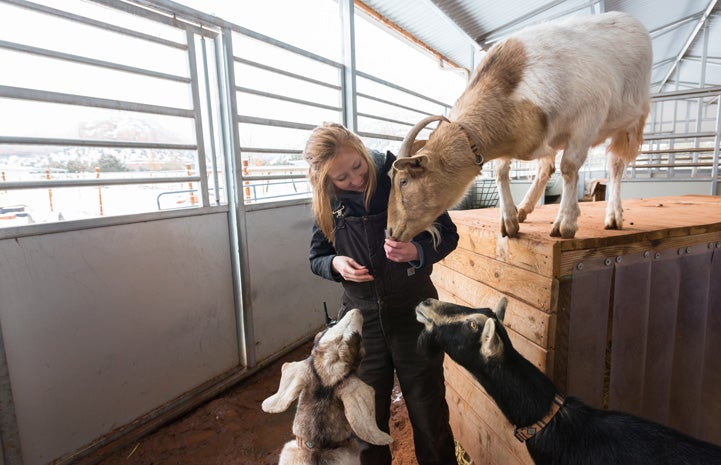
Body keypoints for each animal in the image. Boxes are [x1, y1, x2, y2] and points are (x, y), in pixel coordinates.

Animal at [388, 11, 652, 239]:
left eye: (404, 181)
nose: (390, 231)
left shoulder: (586, 121)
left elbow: (569, 168)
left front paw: (566, 223)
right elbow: (501, 171)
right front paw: (509, 221)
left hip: (631, 120)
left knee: (615, 164)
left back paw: (614, 216)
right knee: (546, 169)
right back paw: (524, 209)